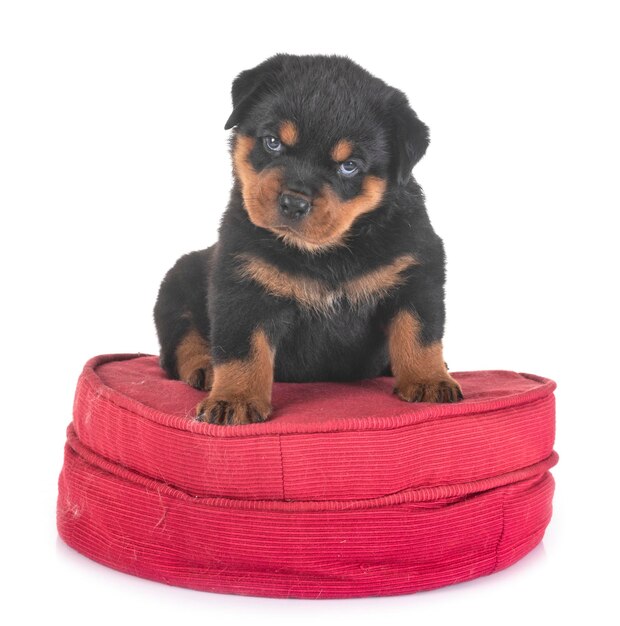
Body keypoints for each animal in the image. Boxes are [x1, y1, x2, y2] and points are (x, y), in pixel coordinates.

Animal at [153, 54, 462, 424]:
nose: (294, 202)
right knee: (182, 341)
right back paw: (206, 369)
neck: (324, 253)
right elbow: (241, 350)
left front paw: (429, 380)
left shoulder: (417, 271)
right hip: (176, 285)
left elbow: (420, 334)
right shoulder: (242, 283)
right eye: (273, 142)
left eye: (349, 165)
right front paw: (235, 399)